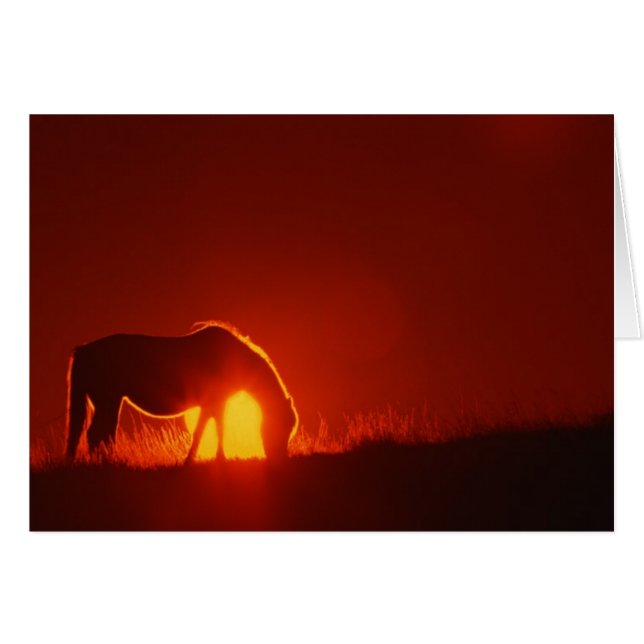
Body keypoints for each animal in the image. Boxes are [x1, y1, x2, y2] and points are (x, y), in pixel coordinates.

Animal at [65, 322, 298, 463]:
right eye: (284, 425)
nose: (279, 458)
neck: (231, 358)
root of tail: (85, 349)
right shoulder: (215, 403)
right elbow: (210, 431)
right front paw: (213, 459)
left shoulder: (212, 404)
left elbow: (208, 430)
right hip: (108, 401)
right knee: (97, 433)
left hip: (109, 402)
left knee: (102, 433)